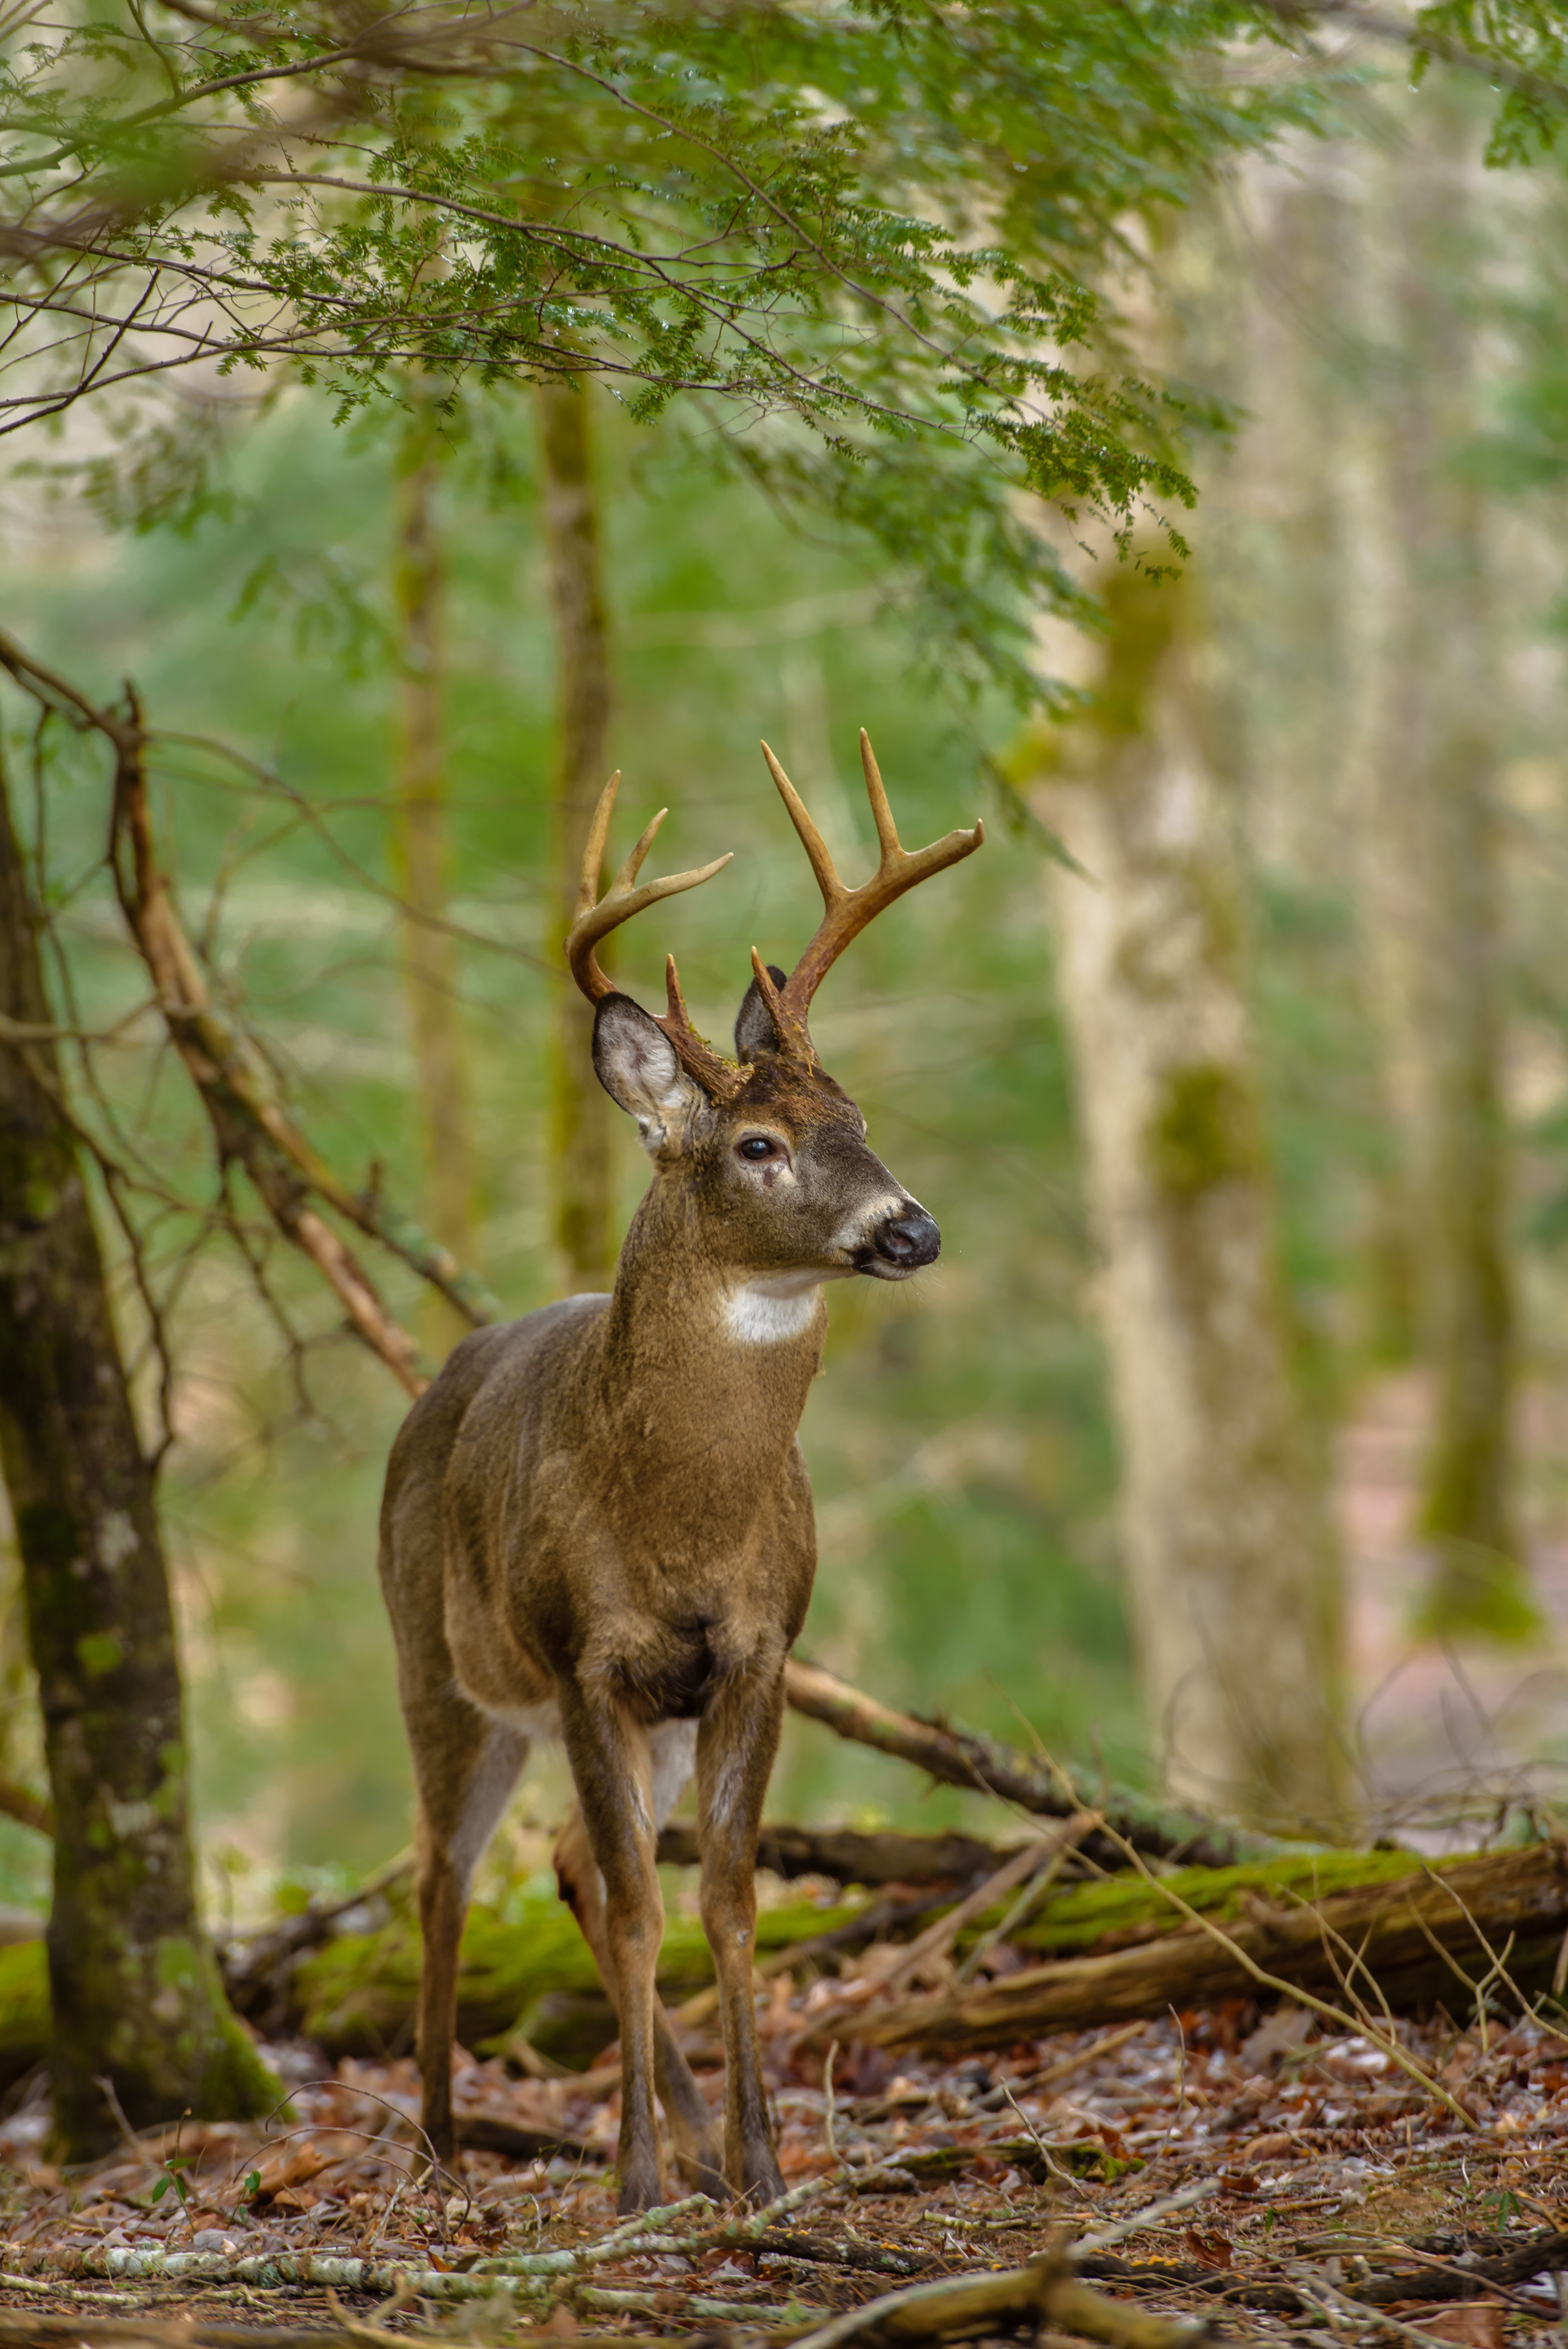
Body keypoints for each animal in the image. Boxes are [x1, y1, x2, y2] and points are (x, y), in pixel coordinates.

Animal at [378, 731, 982, 2213]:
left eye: (856, 1115)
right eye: (755, 1144)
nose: (911, 1228)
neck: (679, 1515)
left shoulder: (754, 1650)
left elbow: (724, 1898)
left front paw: (758, 2165)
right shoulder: (582, 1656)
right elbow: (650, 1905)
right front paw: (633, 2181)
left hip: (636, 1712)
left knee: (565, 1862)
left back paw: (693, 2140)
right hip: (445, 1669)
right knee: (444, 1878)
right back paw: (436, 2140)